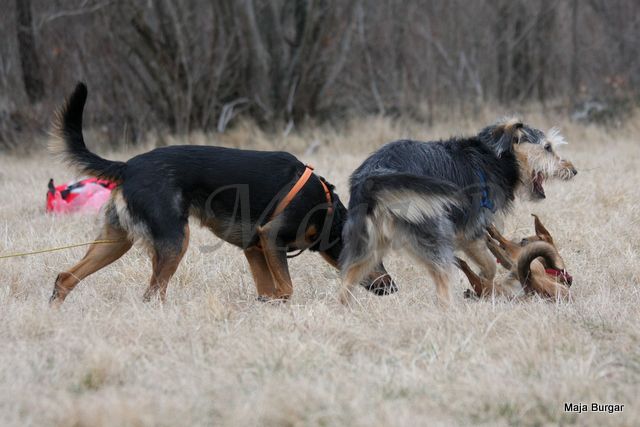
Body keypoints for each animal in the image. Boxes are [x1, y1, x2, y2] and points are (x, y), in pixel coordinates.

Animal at [48, 83, 396, 304]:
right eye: (377, 258)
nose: (393, 287)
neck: (325, 209)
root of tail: (128, 166)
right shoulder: (271, 237)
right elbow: (285, 289)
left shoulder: (255, 248)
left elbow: (270, 292)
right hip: (174, 241)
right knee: (152, 294)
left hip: (115, 241)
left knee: (65, 277)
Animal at [338, 118, 576, 304]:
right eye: (547, 147)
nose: (573, 170)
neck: (495, 160)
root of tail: (374, 179)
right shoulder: (472, 233)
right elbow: (490, 266)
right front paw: (486, 286)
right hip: (433, 235)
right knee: (443, 284)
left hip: (368, 247)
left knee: (348, 281)